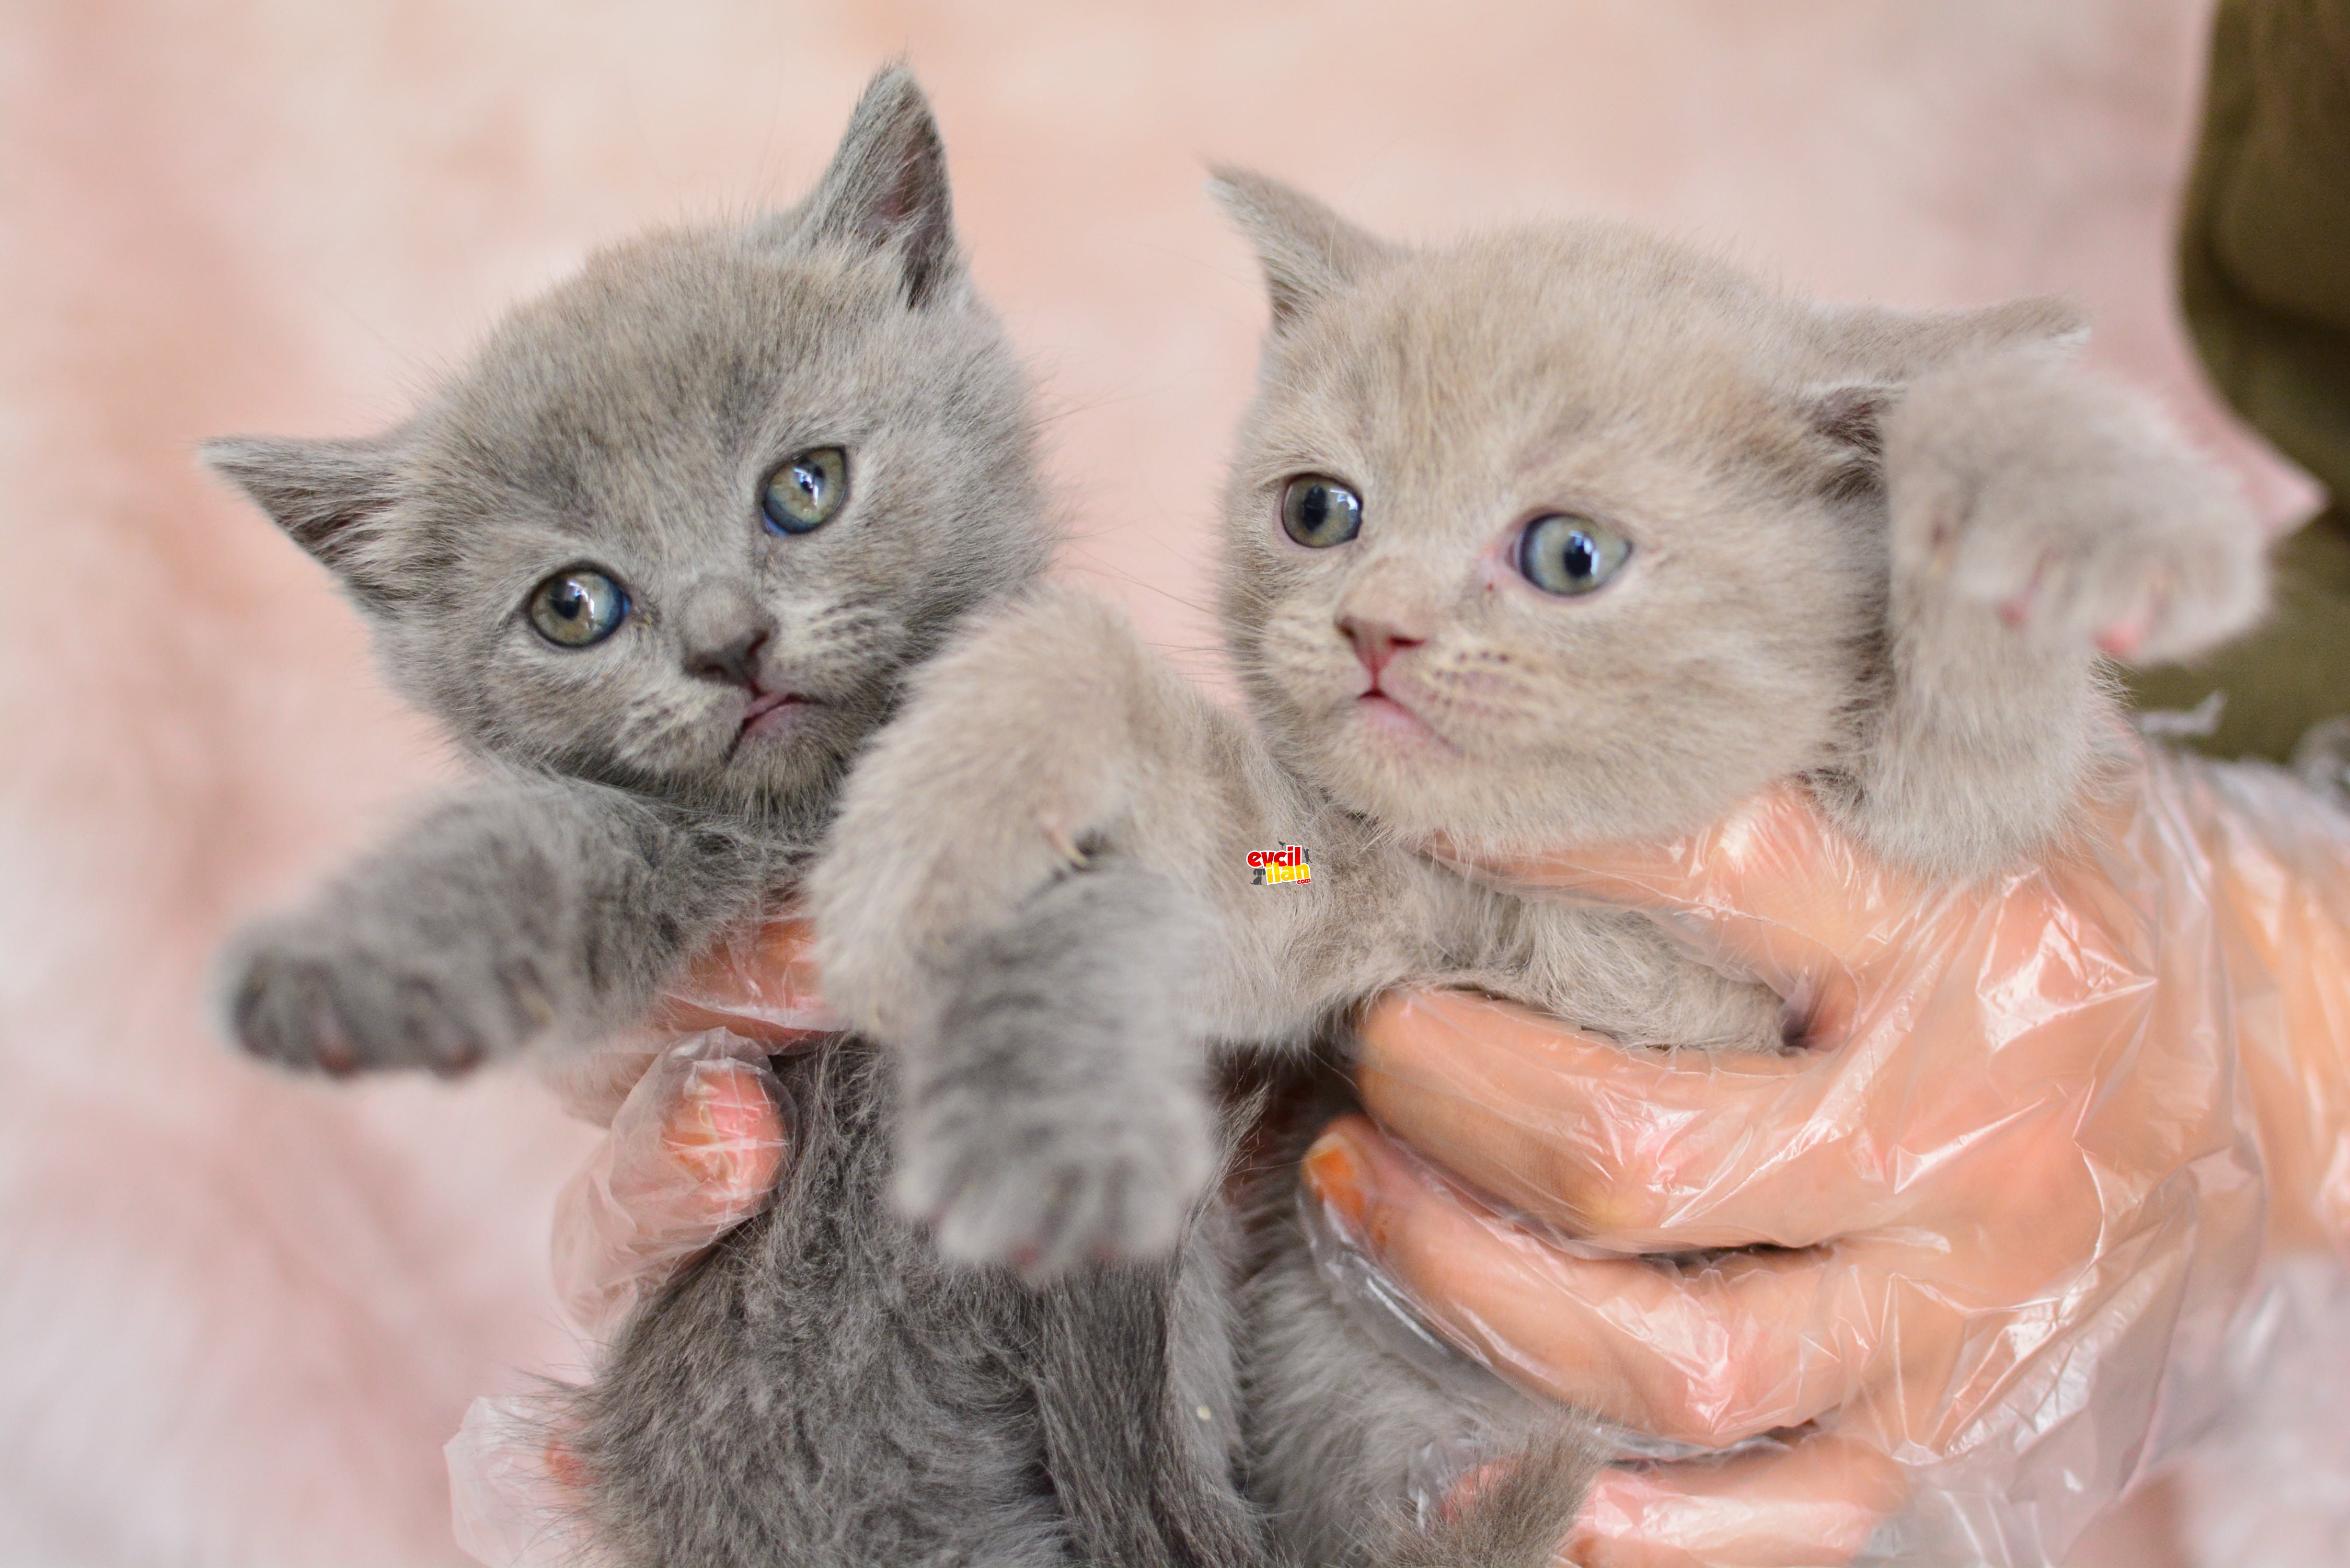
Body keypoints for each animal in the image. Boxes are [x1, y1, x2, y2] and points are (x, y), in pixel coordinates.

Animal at [206, 70, 1391, 1568]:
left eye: (803, 487)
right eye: (573, 605)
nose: (727, 641)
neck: (834, 812)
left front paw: (1047, 1134)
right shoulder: (653, 837)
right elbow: (533, 853)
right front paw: (340, 968)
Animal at [813, 169, 2275, 1561]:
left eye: (1570, 555)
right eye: (1318, 510)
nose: (1376, 626)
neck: (1570, 900)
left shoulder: (1931, 828)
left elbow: (1985, 740)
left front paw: (2083, 495)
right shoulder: (1371, 903)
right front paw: (941, 809)